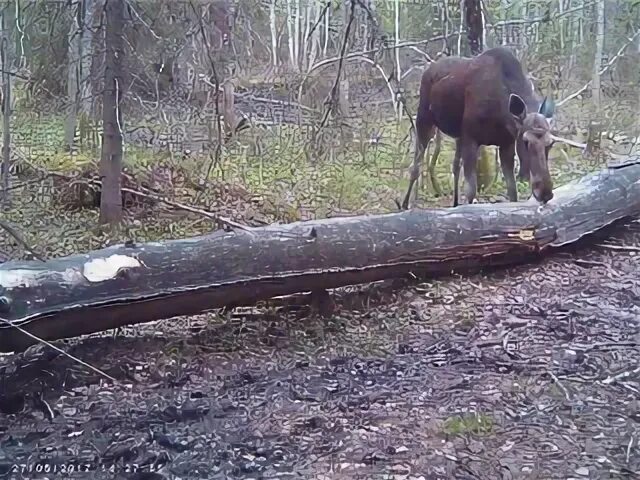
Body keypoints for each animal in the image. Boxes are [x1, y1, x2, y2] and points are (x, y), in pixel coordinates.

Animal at [404, 46, 556, 209]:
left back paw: (455, 203)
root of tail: (429, 68)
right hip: (424, 119)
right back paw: (405, 204)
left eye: (551, 143)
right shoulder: (471, 139)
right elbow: (471, 191)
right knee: (416, 165)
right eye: (526, 141)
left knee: (455, 166)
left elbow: (512, 191)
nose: (545, 192)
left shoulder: (506, 144)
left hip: (458, 135)